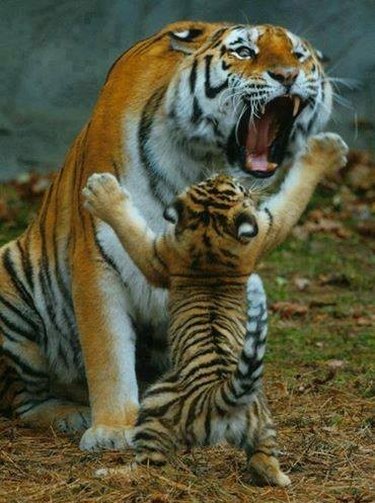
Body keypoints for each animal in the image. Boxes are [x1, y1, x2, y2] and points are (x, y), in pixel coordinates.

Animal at [0, 20, 334, 452]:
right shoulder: (99, 256)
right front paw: (113, 428)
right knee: (22, 399)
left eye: (298, 55)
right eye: (244, 51)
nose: (288, 76)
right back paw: (72, 415)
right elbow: (107, 349)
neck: (200, 160)